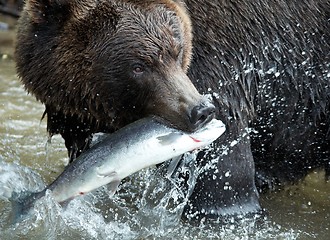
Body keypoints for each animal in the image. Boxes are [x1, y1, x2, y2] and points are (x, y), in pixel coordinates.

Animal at [14, 0, 328, 220]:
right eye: (138, 66)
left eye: (175, 51)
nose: (201, 110)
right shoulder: (78, 119)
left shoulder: (226, 73)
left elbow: (224, 181)